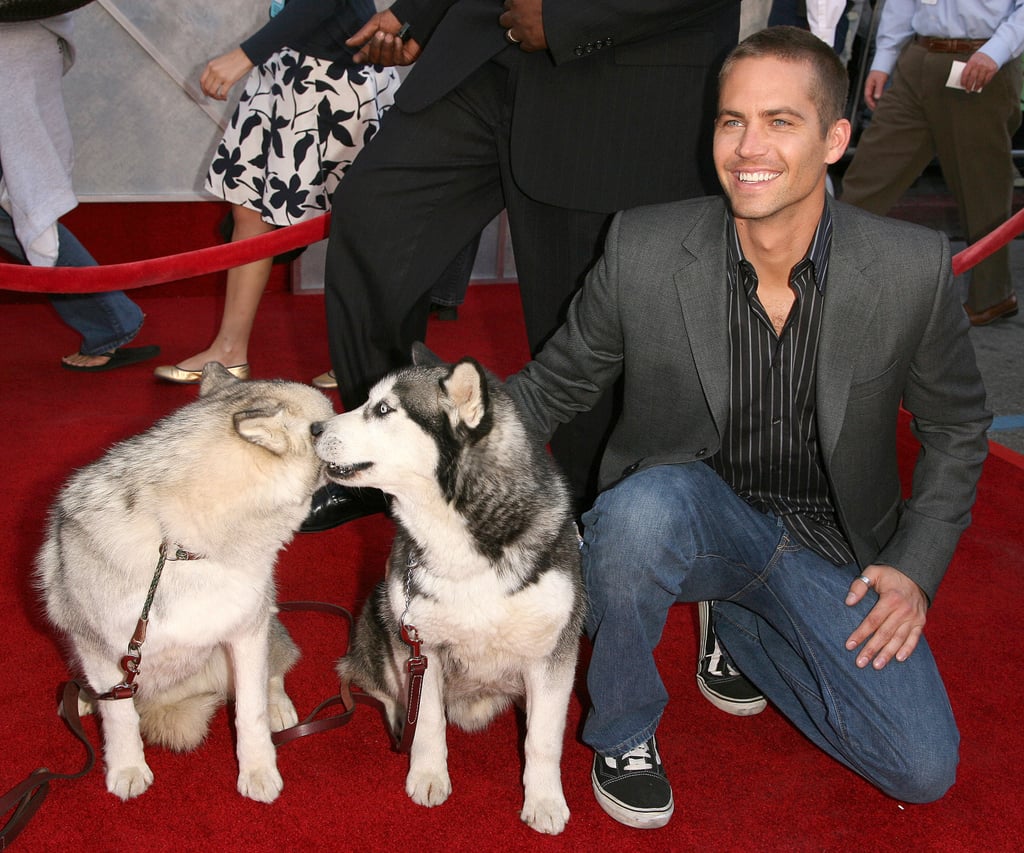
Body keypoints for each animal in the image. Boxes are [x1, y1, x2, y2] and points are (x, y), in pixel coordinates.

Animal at [34, 362, 331, 802]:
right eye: (328, 425)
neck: (177, 547)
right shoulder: (99, 648)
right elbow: (120, 718)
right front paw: (127, 766)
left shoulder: (247, 632)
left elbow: (251, 710)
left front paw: (258, 769)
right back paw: (85, 697)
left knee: (274, 673)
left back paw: (279, 704)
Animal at [311, 342, 585, 835]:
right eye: (367, 401)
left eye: (383, 409)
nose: (314, 428)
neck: (463, 543)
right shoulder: (418, 647)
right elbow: (428, 724)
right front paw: (428, 774)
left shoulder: (554, 654)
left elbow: (543, 739)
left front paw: (544, 800)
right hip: (378, 617)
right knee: (380, 687)